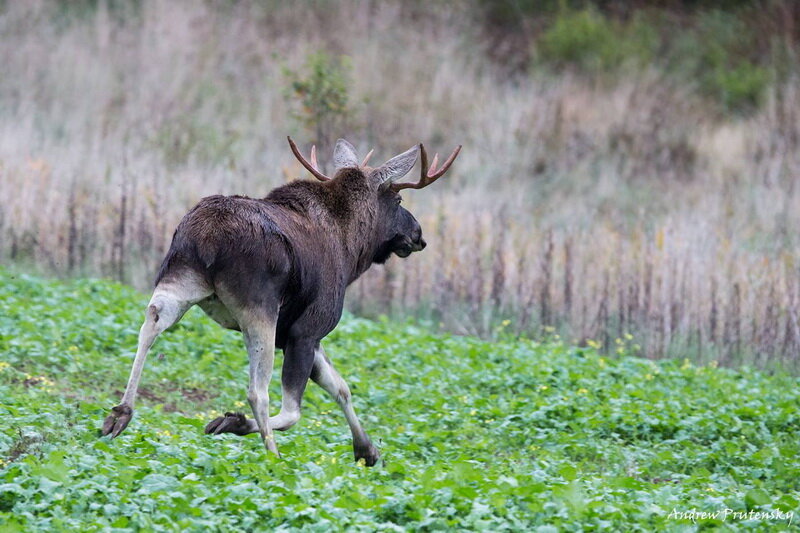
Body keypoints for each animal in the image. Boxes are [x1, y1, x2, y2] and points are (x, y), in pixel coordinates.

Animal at [101, 135, 462, 464]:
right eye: (398, 199)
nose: (418, 235)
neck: (351, 252)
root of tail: (208, 238)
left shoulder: (297, 334)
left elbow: (340, 386)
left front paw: (368, 451)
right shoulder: (308, 328)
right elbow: (298, 408)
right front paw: (231, 422)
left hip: (179, 279)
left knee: (151, 323)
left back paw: (120, 414)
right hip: (258, 307)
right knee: (258, 392)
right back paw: (272, 457)